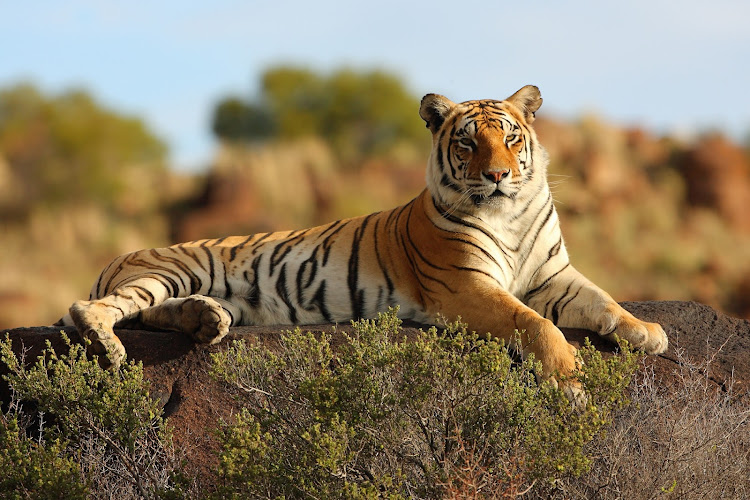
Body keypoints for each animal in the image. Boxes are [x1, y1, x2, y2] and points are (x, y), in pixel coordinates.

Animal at [58, 85, 668, 398]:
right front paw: (570, 381)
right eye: (468, 143)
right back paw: (109, 345)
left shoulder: (552, 275)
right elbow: (536, 324)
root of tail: (117, 257)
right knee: (99, 309)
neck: (510, 215)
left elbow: (602, 300)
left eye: (510, 137)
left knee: (151, 314)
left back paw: (208, 320)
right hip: (167, 271)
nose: (497, 175)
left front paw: (647, 332)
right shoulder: (467, 287)